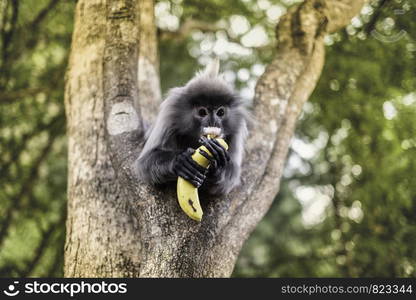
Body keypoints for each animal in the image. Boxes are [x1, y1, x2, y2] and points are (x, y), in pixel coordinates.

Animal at [135, 58, 249, 195]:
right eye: (202, 112)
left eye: (220, 112)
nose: (213, 122)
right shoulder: (169, 115)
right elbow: (144, 163)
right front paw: (180, 161)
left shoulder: (237, 130)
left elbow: (230, 177)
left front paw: (217, 164)